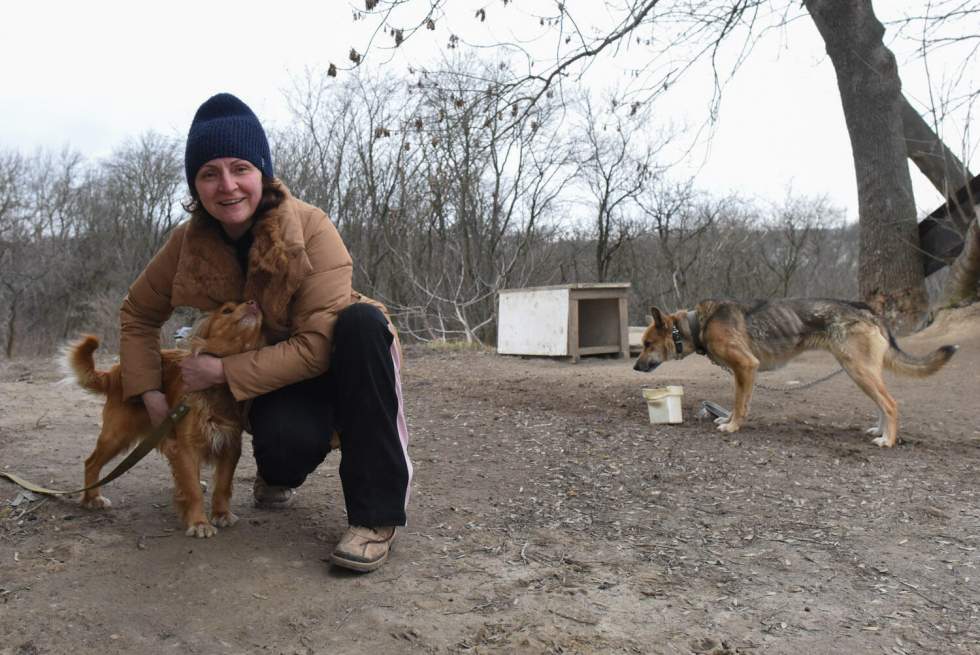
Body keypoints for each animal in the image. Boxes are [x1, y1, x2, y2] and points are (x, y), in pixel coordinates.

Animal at [632, 300, 960, 448]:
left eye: (647, 344)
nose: (635, 368)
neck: (698, 325)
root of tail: (868, 310)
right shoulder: (740, 373)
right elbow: (737, 402)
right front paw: (727, 420)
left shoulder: (746, 367)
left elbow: (740, 403)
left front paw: (733, 426)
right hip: (859, 372)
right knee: (883, 404)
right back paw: (879, 432)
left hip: (858, 371)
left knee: (890, 404)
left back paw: (888, 441)